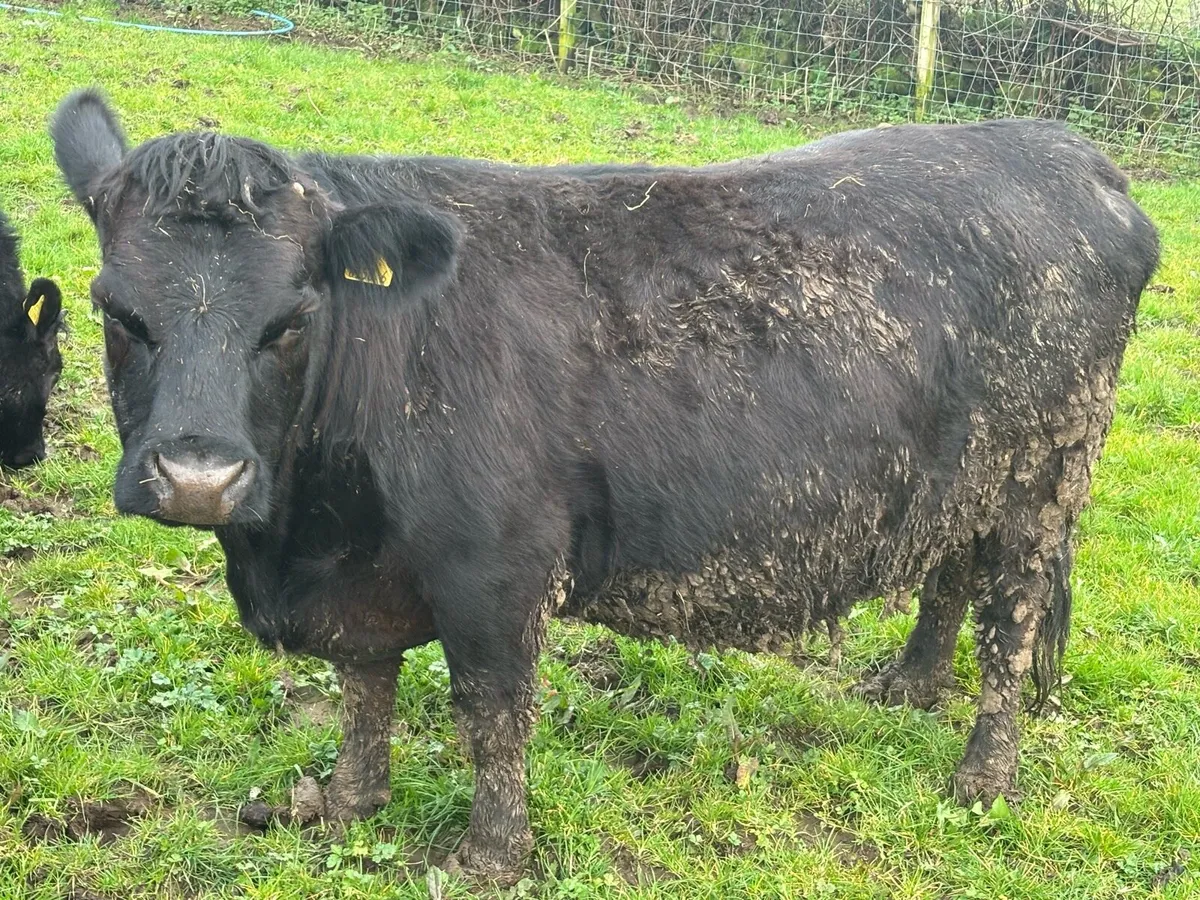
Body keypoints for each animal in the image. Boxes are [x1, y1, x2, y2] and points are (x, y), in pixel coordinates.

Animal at [50, 88, 1158, 881]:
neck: (302, 542)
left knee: (1011, 621)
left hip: (1042, 481)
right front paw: (345, 799)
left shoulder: (497, 567)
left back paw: (980, 778)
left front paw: (489, 857)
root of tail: (1065, 150)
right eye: (115, 311)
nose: (199, 477)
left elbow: (492, 710)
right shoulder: (363, 573)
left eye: (292, 318)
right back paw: (907, 686)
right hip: (965, 476)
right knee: (948, 573)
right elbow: (365, 686)